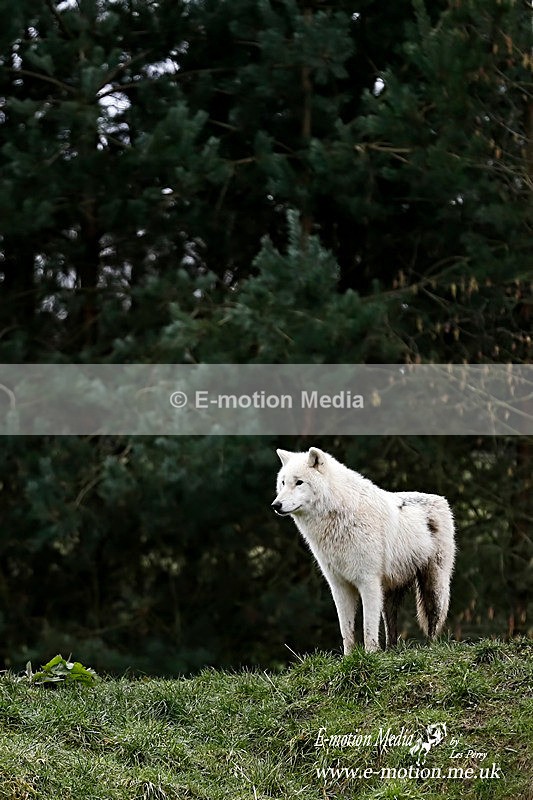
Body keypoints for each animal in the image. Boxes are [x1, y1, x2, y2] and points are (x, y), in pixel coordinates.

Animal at [271, 447, 456, 653]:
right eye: (283, 482)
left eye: (299, 482)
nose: (276, 505)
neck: (339, 516)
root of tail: (440, 499)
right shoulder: (339, 586)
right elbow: (347, 632)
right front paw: (349, 658)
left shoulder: (368, 582)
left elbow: (368, 629)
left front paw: (370, 655)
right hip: (390, 593)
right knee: (391, 630)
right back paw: (391, 651)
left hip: (433, 584)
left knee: (433, 622)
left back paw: (431, 647)